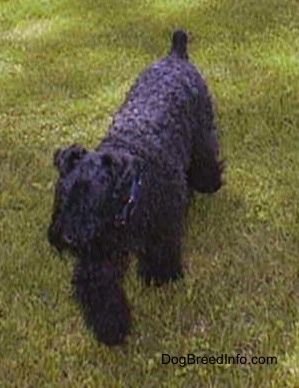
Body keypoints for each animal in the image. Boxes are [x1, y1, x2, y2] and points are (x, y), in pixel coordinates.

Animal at [48, 30, 224, 346]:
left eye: (91, 198)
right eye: (63, 195)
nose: (67, 237)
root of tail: (175, 54)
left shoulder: (160, 228)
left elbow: (161, 252)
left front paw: (160, 278)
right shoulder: (98, 254)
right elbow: (100, 287)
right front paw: (110, 327)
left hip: (203, 131)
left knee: (205, 160)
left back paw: (209, 182)